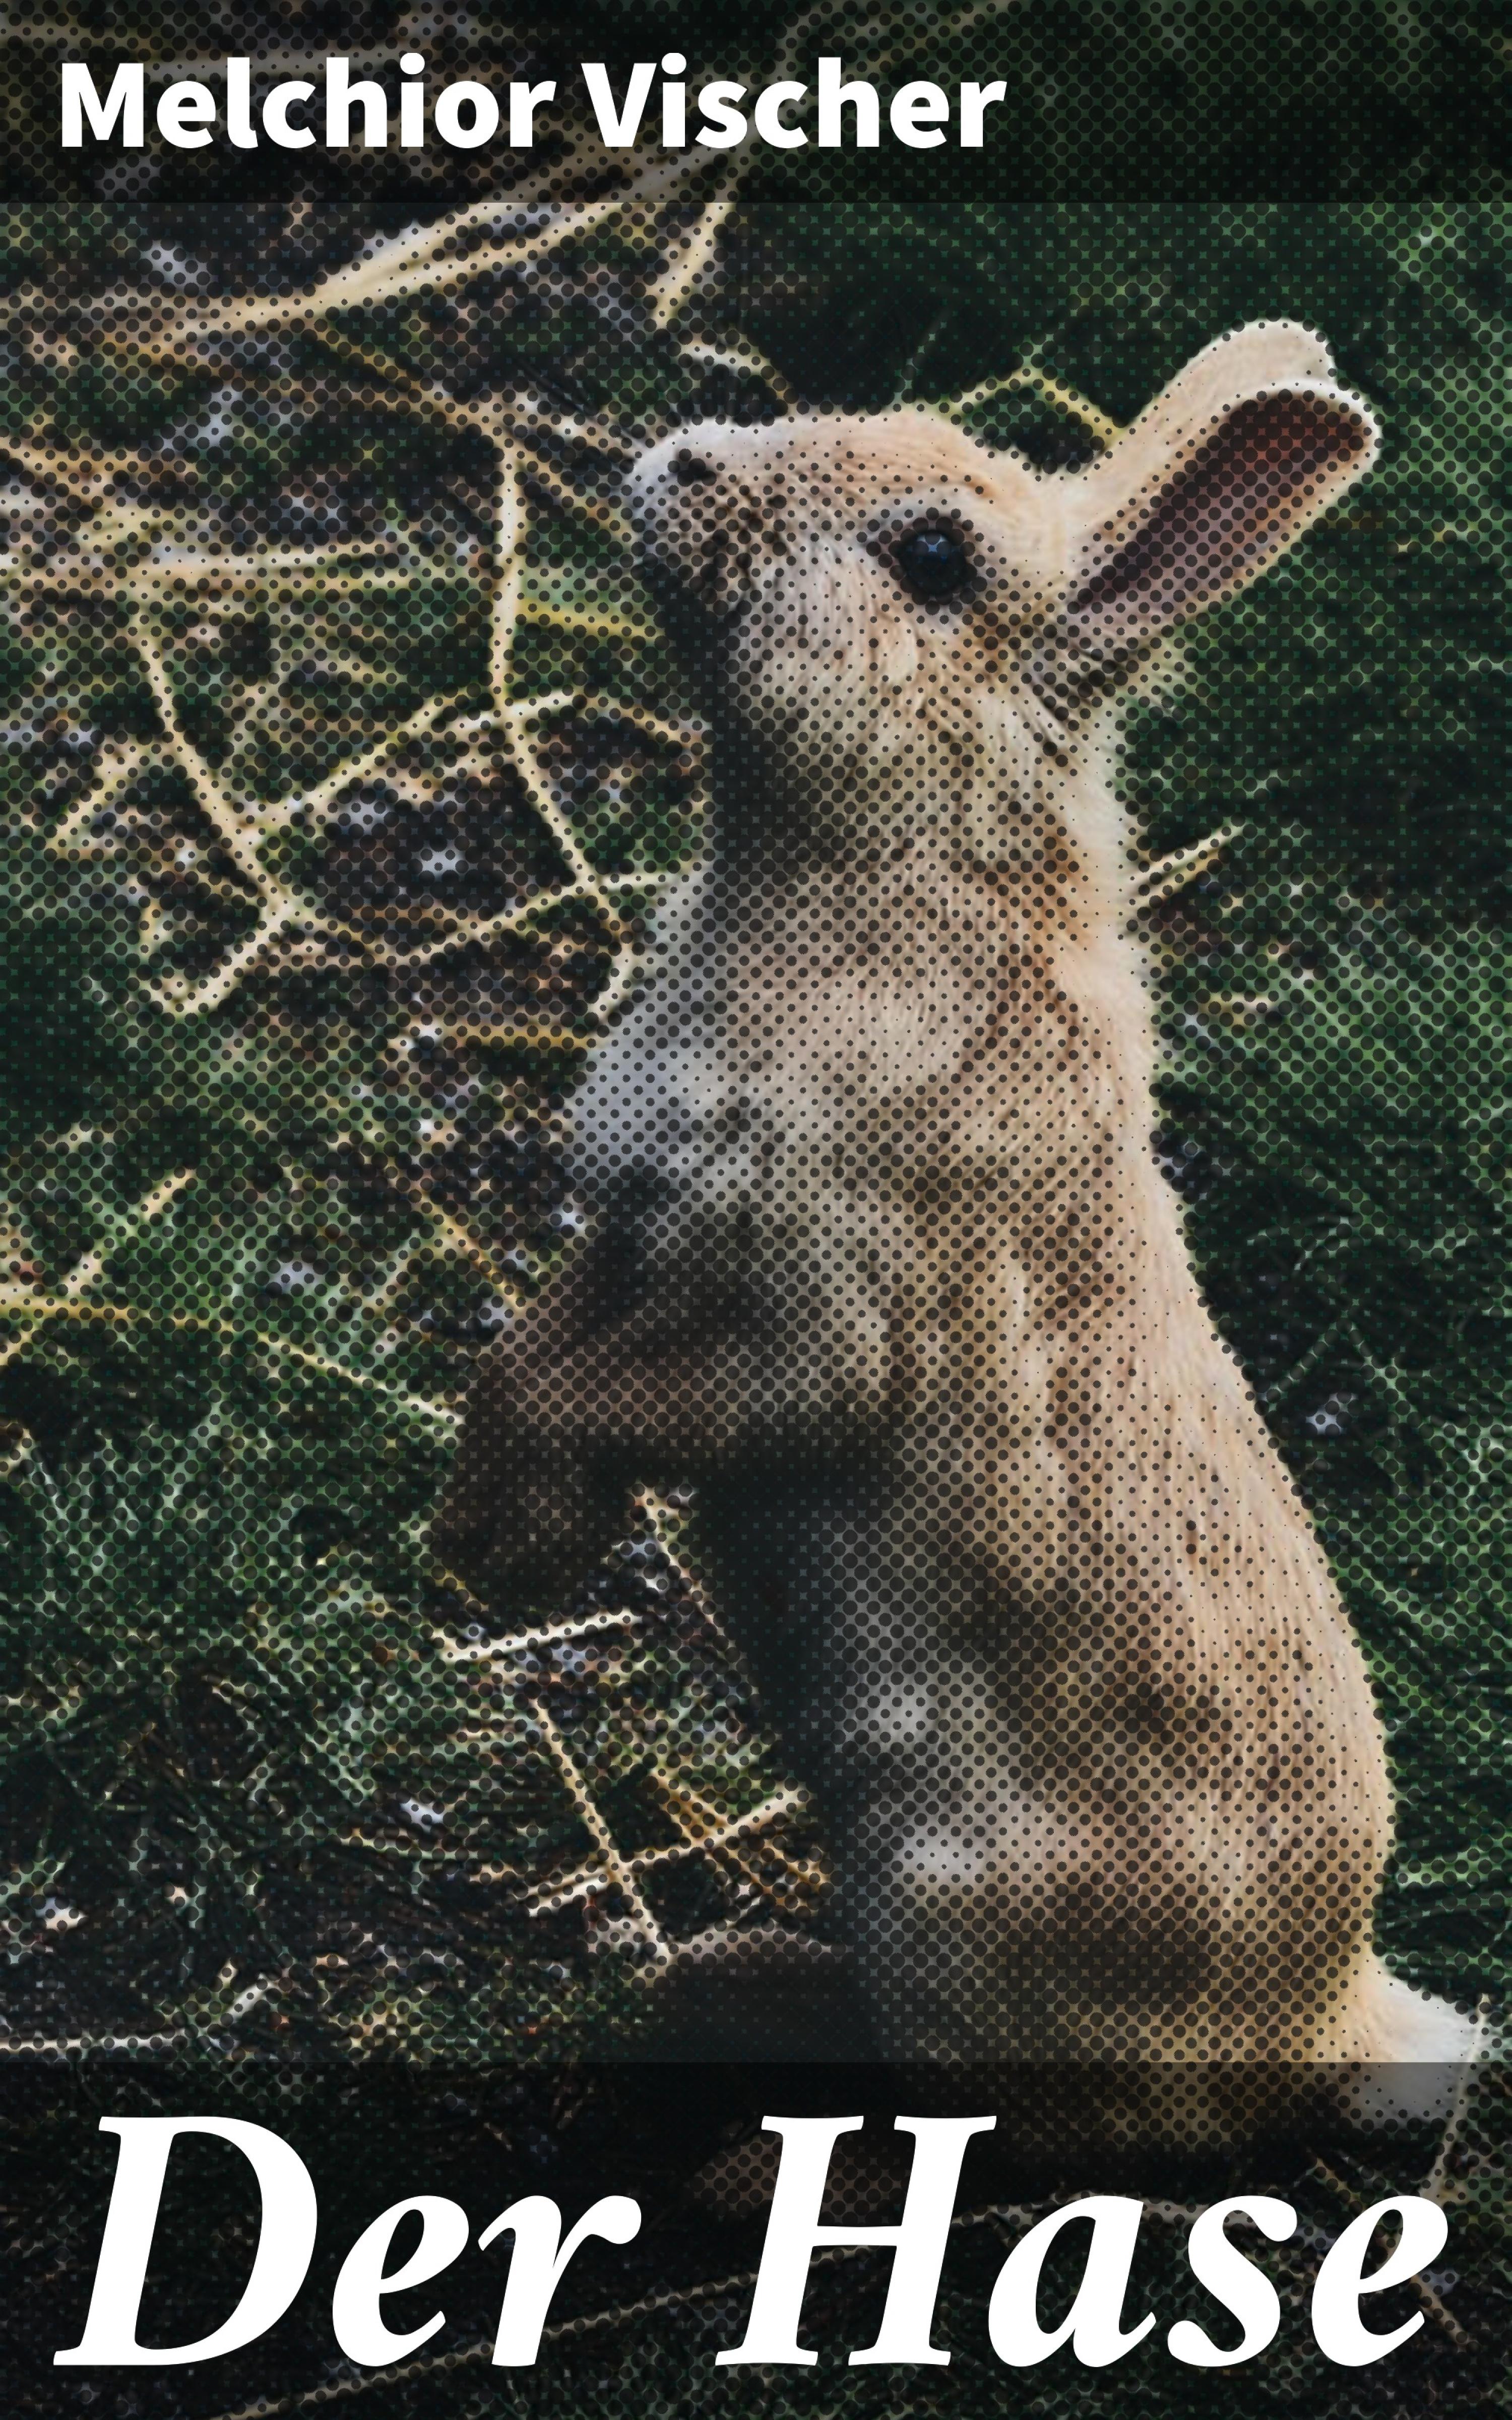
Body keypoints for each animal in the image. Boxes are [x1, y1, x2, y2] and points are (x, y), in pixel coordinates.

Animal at [438, 323, 1475, 2072]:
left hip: (957, 1932)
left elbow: (618, 1402)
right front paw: (482, 1539)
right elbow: (522, 1365)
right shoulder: (638, 1236)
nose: (688, 460)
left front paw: (510, 1558)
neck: (886, 873)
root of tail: (1323, 2022)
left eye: (932, 557)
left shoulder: (815, 1325)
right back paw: (716, 1979)